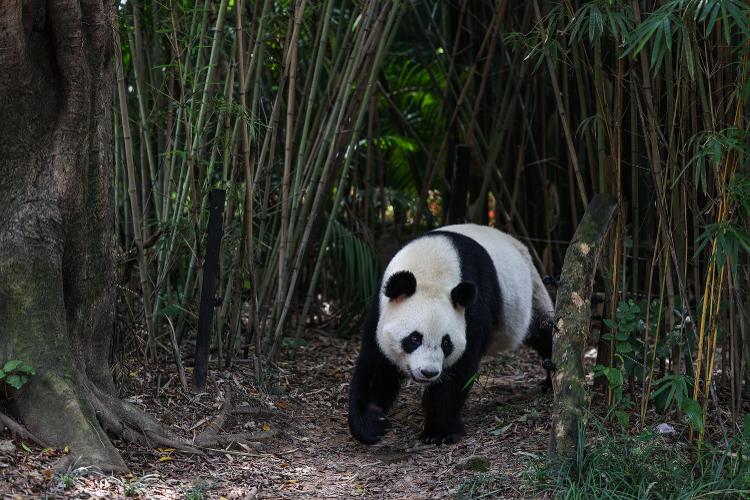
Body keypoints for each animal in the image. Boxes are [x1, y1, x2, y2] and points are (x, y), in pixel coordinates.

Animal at [350, 225, 556, 444]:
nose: (428, 372)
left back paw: (550, 381)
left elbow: (459, 369)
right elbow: (377, 365)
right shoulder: (380, 308)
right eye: (414, 338)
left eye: (446, 343)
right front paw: (372, 423)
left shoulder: (472, 308)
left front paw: (439, 431)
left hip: (531, 293)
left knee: (544, 331)